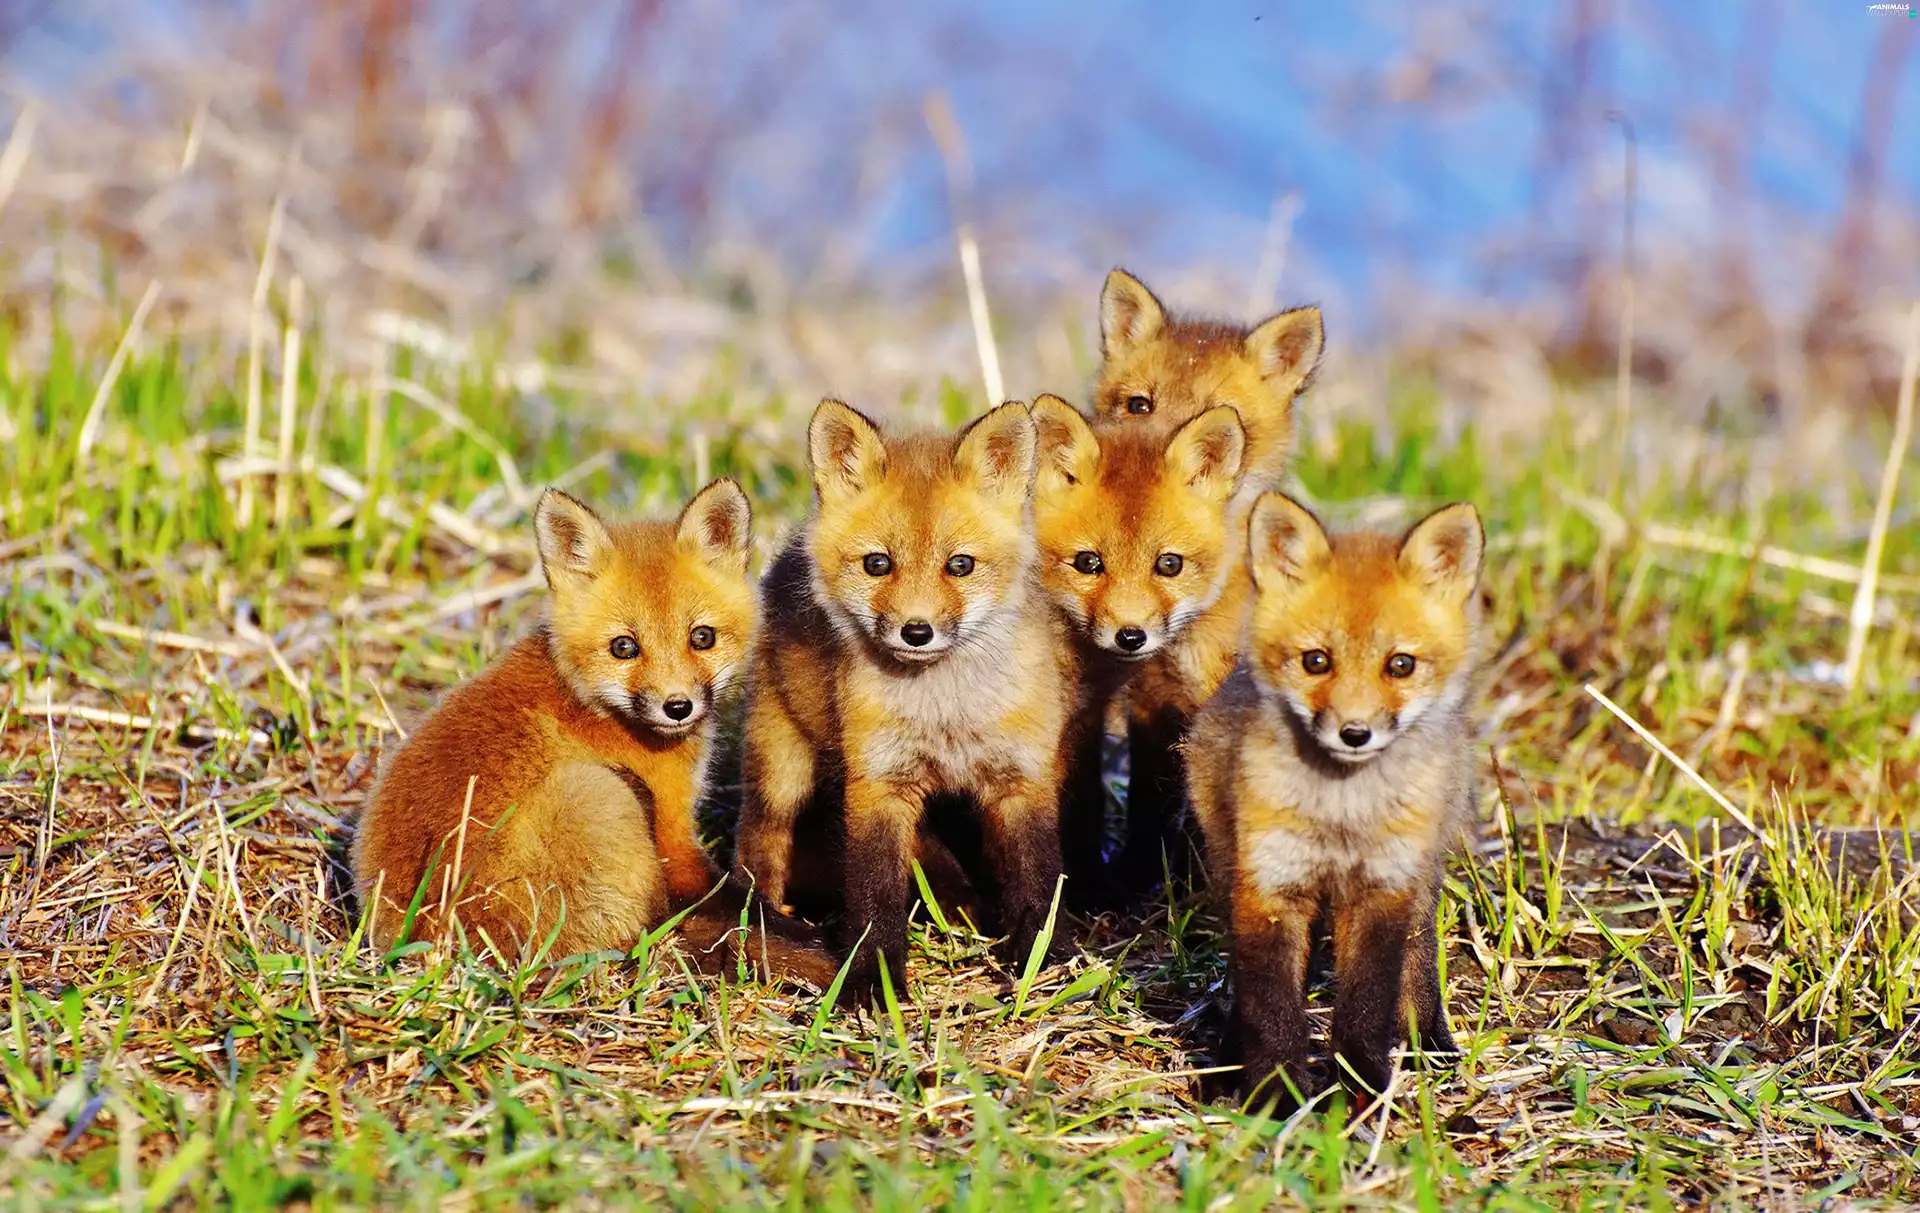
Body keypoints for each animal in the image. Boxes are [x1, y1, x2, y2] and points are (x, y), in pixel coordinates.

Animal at [351, 481, 841, 986]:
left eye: (702, 637)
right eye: (623, 647)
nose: (678, 707)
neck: (591, 701)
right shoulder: (673, 833)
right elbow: (739, 899)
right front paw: (819, 938)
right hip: (602, 793)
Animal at [732, 398, 1076, 998]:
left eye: (959, 565)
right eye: (878, 564)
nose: (917, 632)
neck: (945, 714)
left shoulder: (1023, 777)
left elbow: (1036, 875)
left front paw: (1041, 959)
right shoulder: (877, 784)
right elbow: (875, 895)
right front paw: (874, 979)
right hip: (783, 768)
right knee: (757, 841)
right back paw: (766, 920)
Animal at [1183, 492, 1484, 1108]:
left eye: (1400, 665)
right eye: (1316, 661)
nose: (1354, 733)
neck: (1341, 817)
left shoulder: (1382, 892)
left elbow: (1366, 1006)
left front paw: (1362, 1087)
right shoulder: (1268, 886)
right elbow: (1271, 1006)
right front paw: (1275, 1094)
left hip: (1421, 875)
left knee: (1419, 955)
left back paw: (1429, 1038)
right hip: (1227, 862)